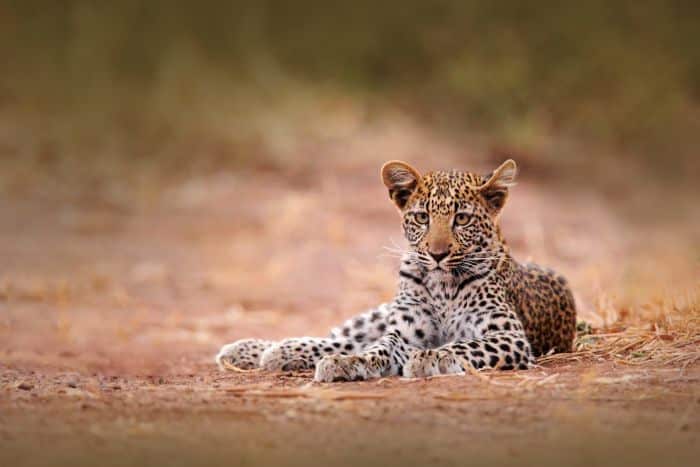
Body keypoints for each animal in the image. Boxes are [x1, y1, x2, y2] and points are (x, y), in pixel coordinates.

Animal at [216, 159, 576, 382]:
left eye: (462, 219)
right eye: (422, 217)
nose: (437, 254)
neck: (443, 285)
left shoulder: (509, 336)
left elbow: (463, 345)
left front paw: (431, 358)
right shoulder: (404, 331)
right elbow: (378, 348)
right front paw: (350, 364)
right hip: (377, 315)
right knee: (341, 337)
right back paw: (259, 349)